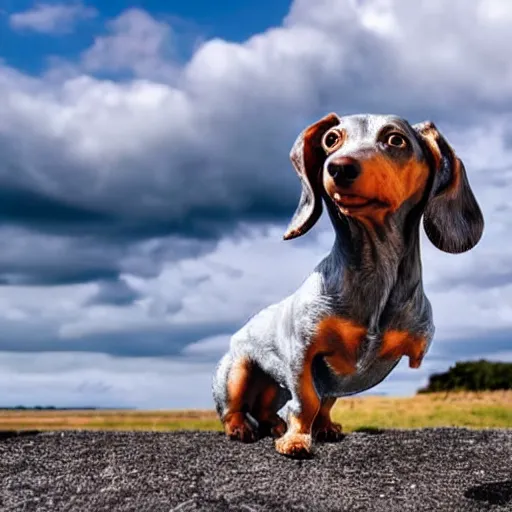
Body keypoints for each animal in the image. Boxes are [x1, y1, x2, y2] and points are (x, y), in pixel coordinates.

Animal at [211, 112, 484, 456]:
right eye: (331, 139)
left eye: (396, 140)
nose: (339, 167)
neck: (374, 274)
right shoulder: (302, 356)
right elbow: (306, 402)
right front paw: (296, 440)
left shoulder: (335, 376)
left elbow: (325, 402)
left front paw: (324, 427)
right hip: (236, 373)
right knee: (232, 409)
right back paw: (241, 429)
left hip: (275, 388)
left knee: (264, 408)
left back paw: (275, 425)